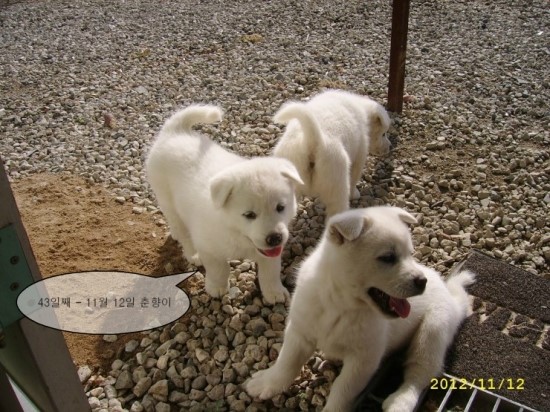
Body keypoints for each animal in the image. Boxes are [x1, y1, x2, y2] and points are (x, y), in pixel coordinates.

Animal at [145, 105, 303, 304]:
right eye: (249, 215)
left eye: (281, 208)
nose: (274, 238)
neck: (236, 233)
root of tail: (174, 132)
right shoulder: (209, 248)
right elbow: (219, 269)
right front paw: (217, 287)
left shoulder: (270, 251)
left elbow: (270, 272)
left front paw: (274, 293)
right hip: (166, 198)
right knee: (182, 230)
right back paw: (192, 253)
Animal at [246, 206, 475, 411]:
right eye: (388, 257)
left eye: (410, 254)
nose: (422, 281)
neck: (340, 303)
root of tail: (450, 296)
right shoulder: (300, 331)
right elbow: (287, 363)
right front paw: (266, 383)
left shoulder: (364, 359)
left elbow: (342, 390)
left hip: (433, 331)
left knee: (418, 375)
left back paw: (400, 402)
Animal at [272, 89, 391, 218]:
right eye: (384, 134)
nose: (390, 147)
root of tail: (312, 139)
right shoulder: (359, 155)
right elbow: (354, 178)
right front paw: (355, 194)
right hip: (337, 184)